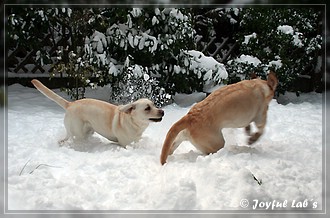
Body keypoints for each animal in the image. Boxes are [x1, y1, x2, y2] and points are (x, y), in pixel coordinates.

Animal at [31, 79, 163, 146]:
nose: (162, 111)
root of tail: (70, 104)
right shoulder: (124, 144)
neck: (134, 123)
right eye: (147, 108)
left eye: (154, 104)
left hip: (86, 130)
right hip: (78, 132)